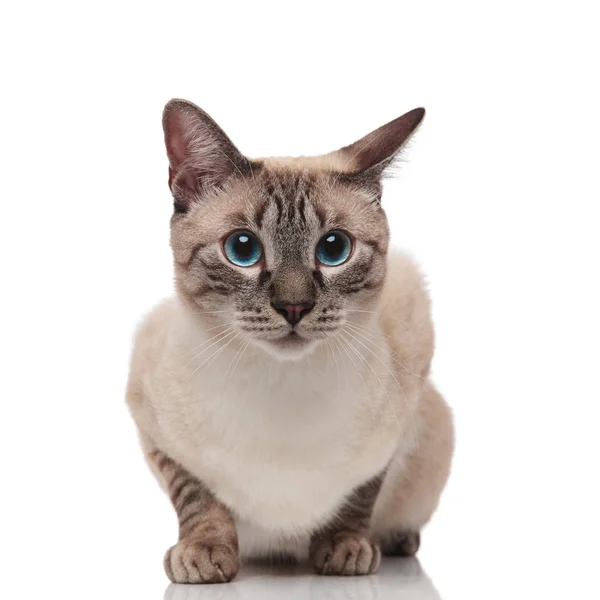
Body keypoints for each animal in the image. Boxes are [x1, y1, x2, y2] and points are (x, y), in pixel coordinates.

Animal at [127, 101, 454, 584]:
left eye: (334, 249)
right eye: (242, 250)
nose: (294, 307)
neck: (280, 385)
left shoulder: (403, 411)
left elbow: (360, 494)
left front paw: (344, 547)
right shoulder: (151, 422)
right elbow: (196, 496)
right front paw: (204, 554)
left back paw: (397, 542)